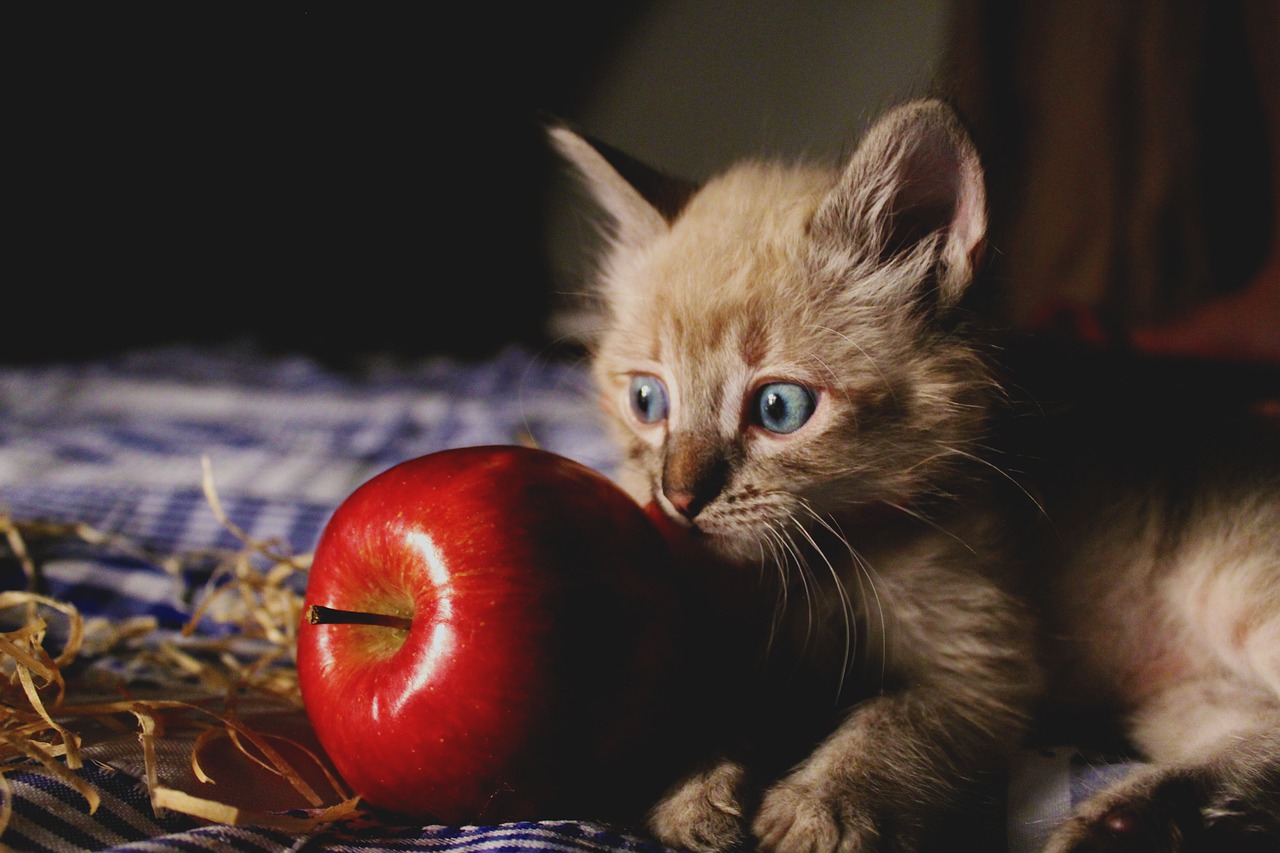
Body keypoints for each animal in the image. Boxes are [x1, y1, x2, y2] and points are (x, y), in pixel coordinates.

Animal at [550, 101, 1280, 850]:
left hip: (1236, 596)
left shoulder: (980, 666)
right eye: (647, 401)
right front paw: (690, 793)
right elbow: (708, 704)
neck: (819, 561)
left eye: (779, 408)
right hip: (1180, 701)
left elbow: (889, 727)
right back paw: (1128, 820)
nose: (679, 497)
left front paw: (823, 809)